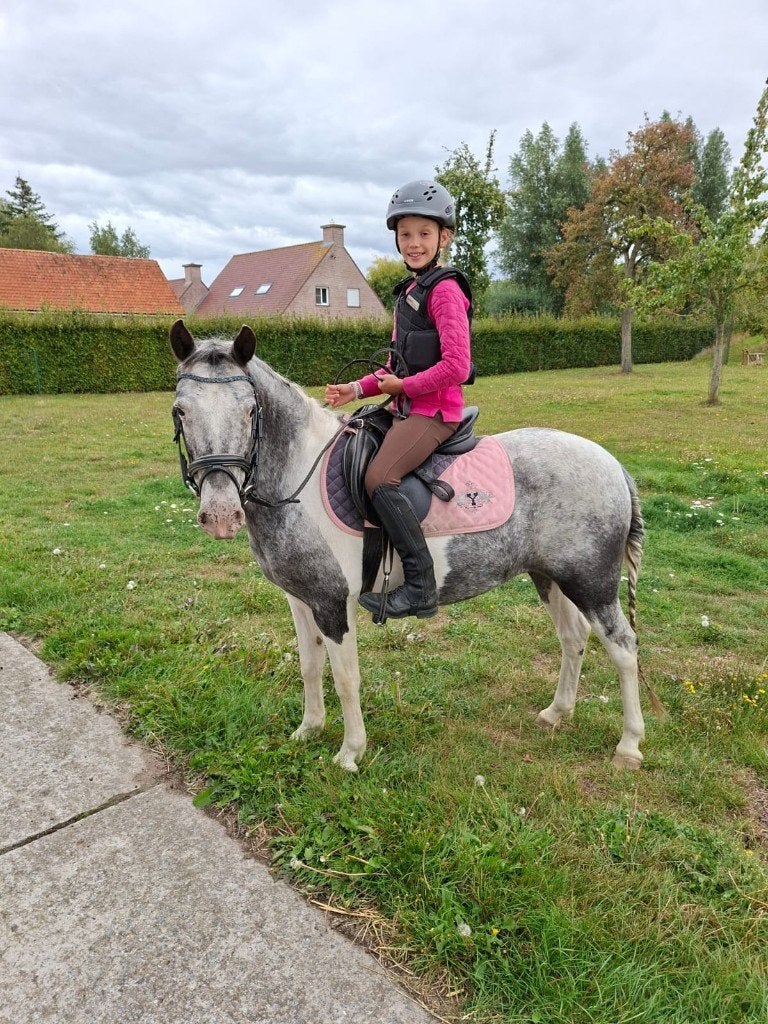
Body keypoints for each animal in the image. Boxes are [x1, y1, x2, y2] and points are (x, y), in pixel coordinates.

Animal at [169, 320, 649, 772]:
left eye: (251, 411)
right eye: (180, 411)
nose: (220, 514)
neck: (298, 483)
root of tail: (613, 464)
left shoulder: (332, 603)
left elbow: (346, 677)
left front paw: (350, 753)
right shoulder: (300, 600)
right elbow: (310, 665)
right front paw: (308, 729)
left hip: (591, 581)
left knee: (624, 648)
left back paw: (628, 745)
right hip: (550, 575)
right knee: (574, 637)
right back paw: (557, 713)